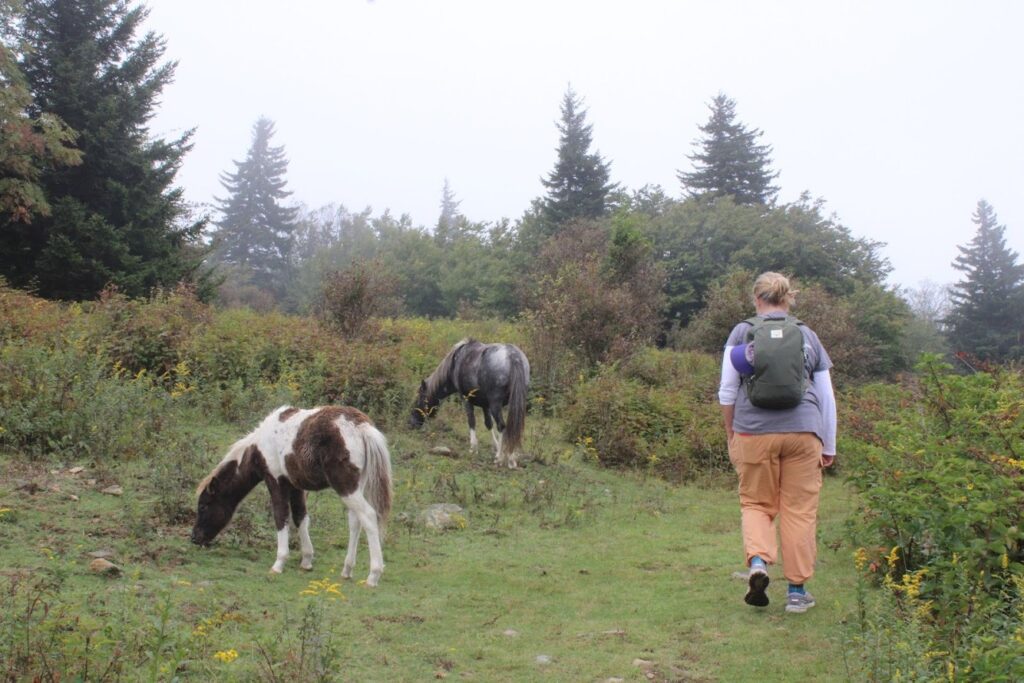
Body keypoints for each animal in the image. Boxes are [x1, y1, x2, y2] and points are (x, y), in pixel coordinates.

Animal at [191, 405, 391, 589]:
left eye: (203, 506)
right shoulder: (295, 485)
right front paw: (307, 560)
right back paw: (347, 570)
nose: (194, 538)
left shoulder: (275, 480)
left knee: (368, 516)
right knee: (355, 521)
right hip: (356, 485)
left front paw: (279, 563)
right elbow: (300, 517)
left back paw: (373, 575)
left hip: (345, 486)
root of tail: (362, 427)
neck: (260, 445)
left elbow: (281, 517)